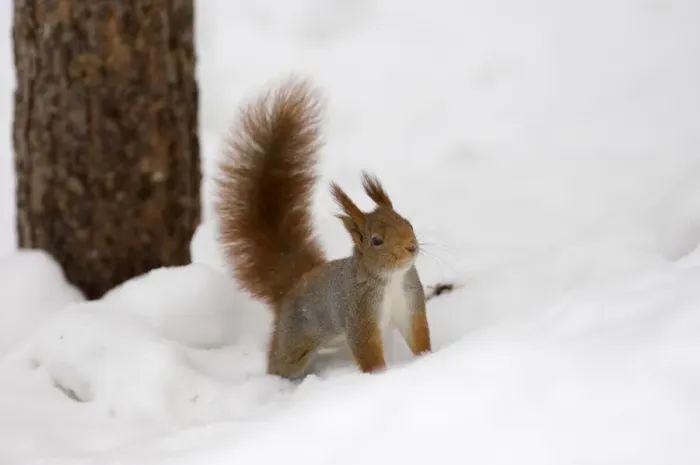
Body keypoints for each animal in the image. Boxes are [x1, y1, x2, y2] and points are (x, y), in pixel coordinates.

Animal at [215, 77, 431, 380]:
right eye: (376, 240)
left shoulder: (410, 303)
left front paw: (428, 360)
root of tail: (292, 286)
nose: (411, 246)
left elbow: (419, 335)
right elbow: (368, 353)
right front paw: (380, 378)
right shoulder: (359, 315)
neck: (392, 280)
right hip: (293, 344)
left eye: (407, 222)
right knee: (278, 363)